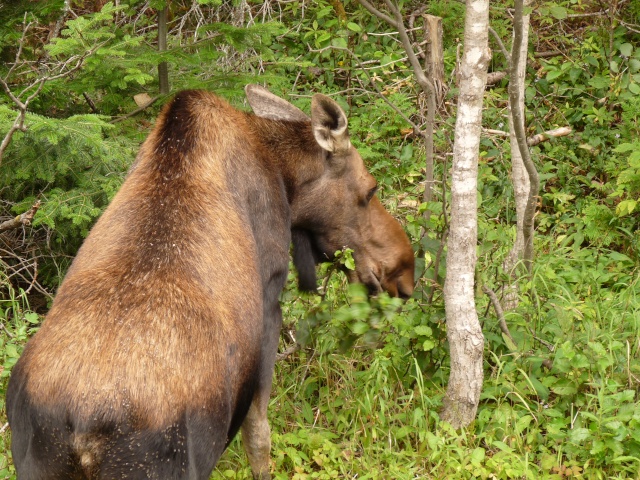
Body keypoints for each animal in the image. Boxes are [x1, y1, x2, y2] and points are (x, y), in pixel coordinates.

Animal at [6, 84, 416, 478]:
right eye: (371, 189)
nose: (404, 273)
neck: (283, 177)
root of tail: (83, 428)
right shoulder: (269, 306)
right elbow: (259, 438)